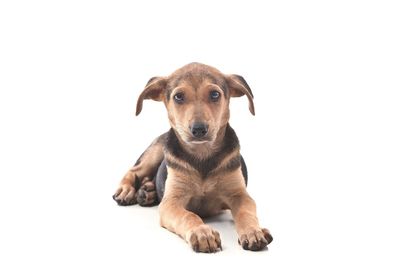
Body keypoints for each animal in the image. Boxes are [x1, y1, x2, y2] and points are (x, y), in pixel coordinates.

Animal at [112, 62, 272, 253]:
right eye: (179, 97)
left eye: (215, 94)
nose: (199, 129)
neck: (202, 155)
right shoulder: (171, 203)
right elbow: (189, 216)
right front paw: (202, 232)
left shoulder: (240, 195)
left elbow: (246, 213)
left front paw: (253, 231)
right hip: (156, 151)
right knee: (134, 170)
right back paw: (127, 190)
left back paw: (148, 191)